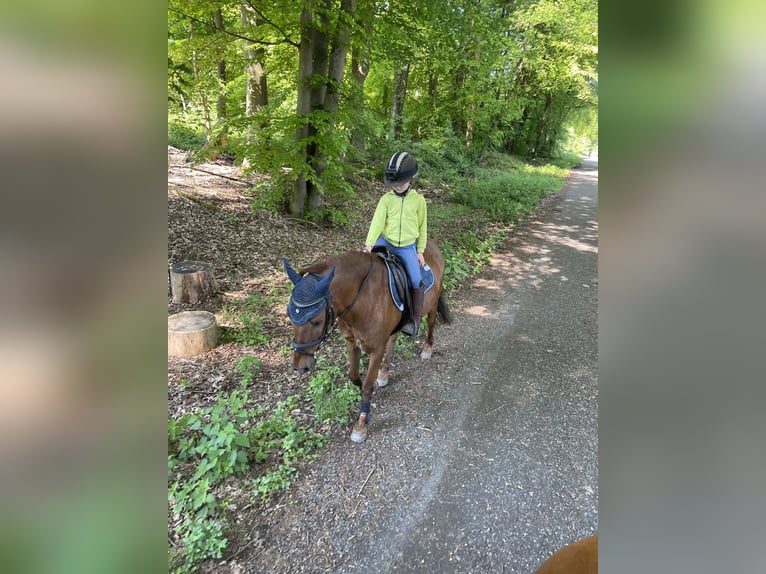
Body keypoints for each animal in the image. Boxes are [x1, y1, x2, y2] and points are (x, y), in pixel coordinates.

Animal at [284, 241, 452, 444]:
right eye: (290, 316)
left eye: (316, 321)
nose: (299, 366)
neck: (361, 299)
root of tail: (433, 244)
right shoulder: (352, 342)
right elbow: (355, 377)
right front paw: (368, 392)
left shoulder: (377, 349)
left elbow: (366, 388)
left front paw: (361, 424)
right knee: (393, 338)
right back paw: (384, 373)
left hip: (432, 304)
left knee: (432, 323)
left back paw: (427, 348)